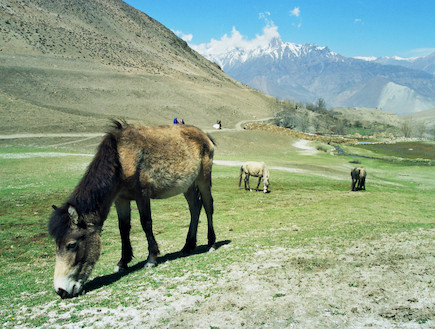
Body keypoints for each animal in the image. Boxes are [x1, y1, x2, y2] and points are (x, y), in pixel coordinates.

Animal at [49, 120, 216, 298]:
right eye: (57, 245)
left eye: (71, 244)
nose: (61, 290)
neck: (120, 159)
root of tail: (205, 136)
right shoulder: (121, 200)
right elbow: (123, 228)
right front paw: (123, 262)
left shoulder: (142, 194)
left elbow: (146, 223)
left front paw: (151, 259)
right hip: (188, 186)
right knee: (195, 208)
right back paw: (187, 246)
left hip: (203, 178)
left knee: (208, 206)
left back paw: (211, 243)